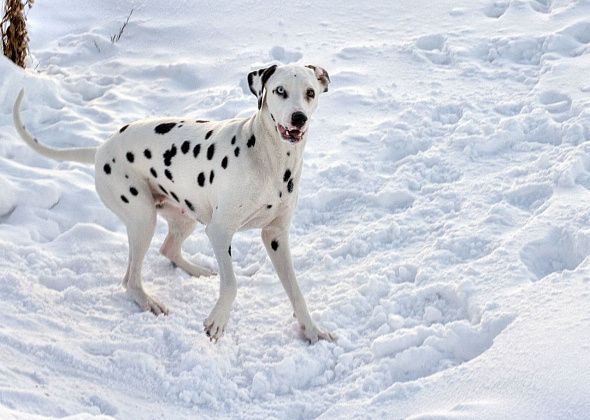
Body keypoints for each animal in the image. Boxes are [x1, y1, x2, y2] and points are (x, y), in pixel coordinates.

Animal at [13, 64, 336, 342]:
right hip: (142, 219)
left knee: (167, 248)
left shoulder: (275, 236)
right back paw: (149, 302)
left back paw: (199, 271)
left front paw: (311, 330)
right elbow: (231, 284)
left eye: (310, 92)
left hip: (185, 216)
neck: (270, 161)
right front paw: (217, 321)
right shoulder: (220, 232)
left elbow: (295, 290)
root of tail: (100, 149)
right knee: (131, 280)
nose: (298, 117)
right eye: (280, 90)